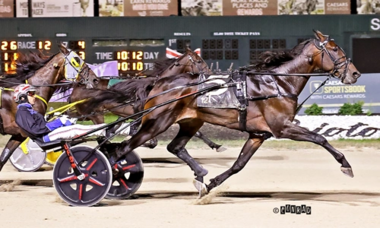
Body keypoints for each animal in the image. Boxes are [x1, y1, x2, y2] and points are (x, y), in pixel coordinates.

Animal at [65, 47, 224, 151]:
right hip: (95, 115)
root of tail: (79, 85)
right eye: (199, 61)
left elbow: (196, 131)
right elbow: (149, 140)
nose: (210, 73)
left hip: (84, 114)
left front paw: (215, 145)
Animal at [90, 29, 360, 196]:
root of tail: (159, 83)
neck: (277, 82)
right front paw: (345, 164)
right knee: (122, 149)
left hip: (190, 122)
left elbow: (239, 164)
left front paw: (210, 185)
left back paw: (200, 172)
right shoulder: (282, 127)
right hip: (156, 123)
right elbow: (320, 138)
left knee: (174, 147)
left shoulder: (258, 135)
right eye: (335, 49)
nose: (355, 73)